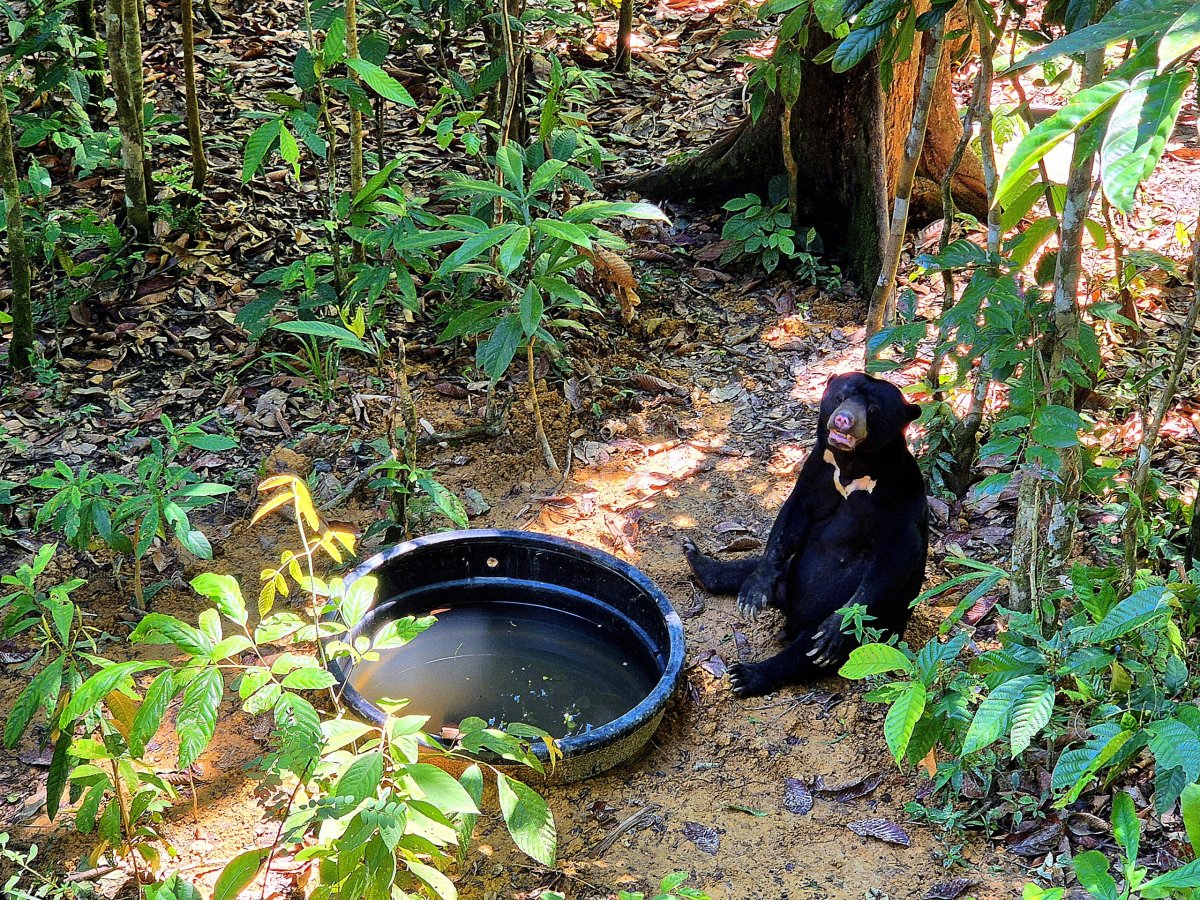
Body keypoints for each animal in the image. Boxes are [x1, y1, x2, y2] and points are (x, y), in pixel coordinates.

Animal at [682, 371, 929, 697]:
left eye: (874, 410)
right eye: (840, 397)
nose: (843, 420)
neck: (852, 468)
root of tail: (793, 619)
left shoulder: (898, 495)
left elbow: (896, 556)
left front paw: (835, 628)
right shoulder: (816, 469)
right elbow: (791, 519)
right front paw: (753, 596)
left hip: (872, 629)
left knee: (805, 653)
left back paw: (748, 675)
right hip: (789, 575)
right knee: (748, 567)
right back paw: (698, 560)